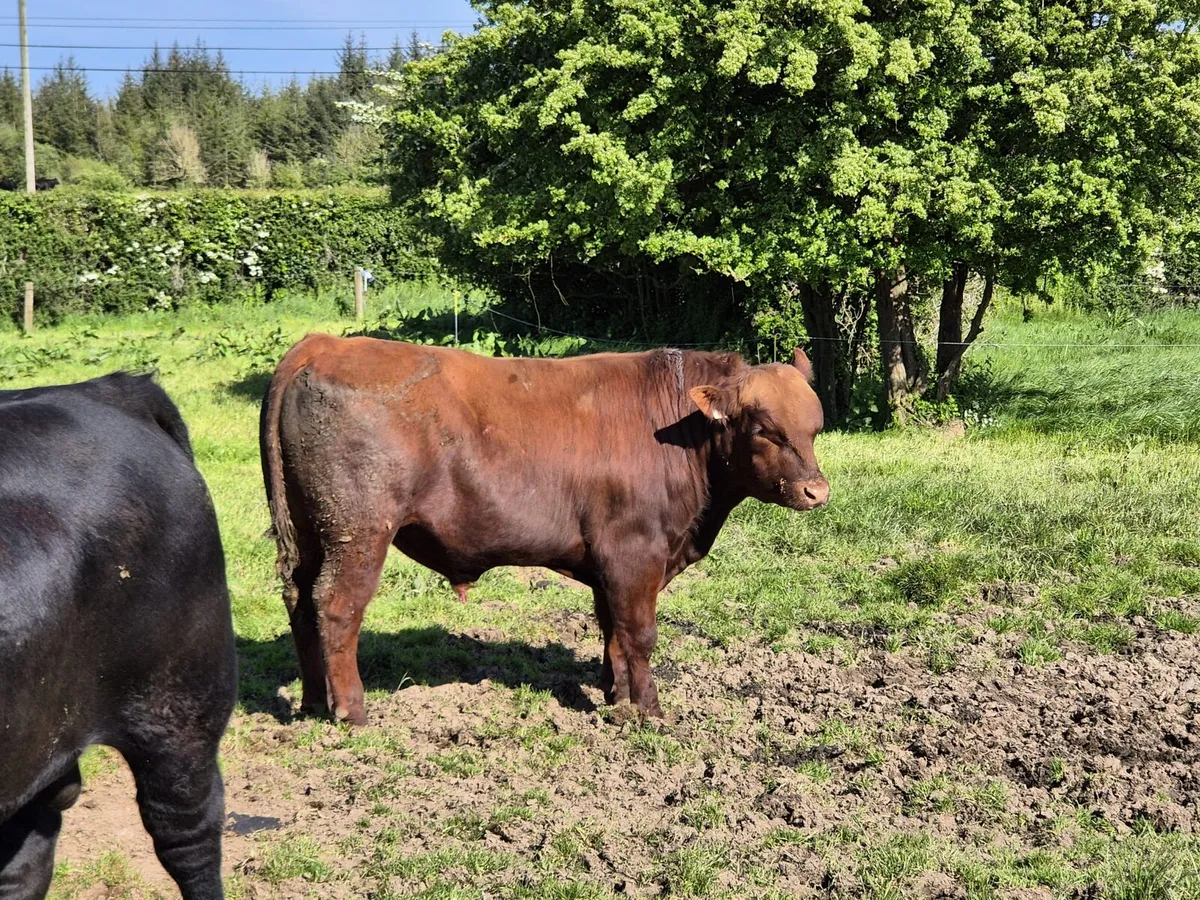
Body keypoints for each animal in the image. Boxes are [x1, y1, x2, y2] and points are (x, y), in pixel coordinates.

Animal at [260, 336, 829, 726]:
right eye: (765, 429)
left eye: (815, 427)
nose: (816, 491)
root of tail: (325, 343)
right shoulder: (635, 553)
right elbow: (639, 633)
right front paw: (648, 711)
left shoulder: (609, 561)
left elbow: (613, 631)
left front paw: (617, 697)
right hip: (357, 533)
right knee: (336, 607)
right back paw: (351, 711)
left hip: (308, 534)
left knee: (300, 604)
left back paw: (311, 701)